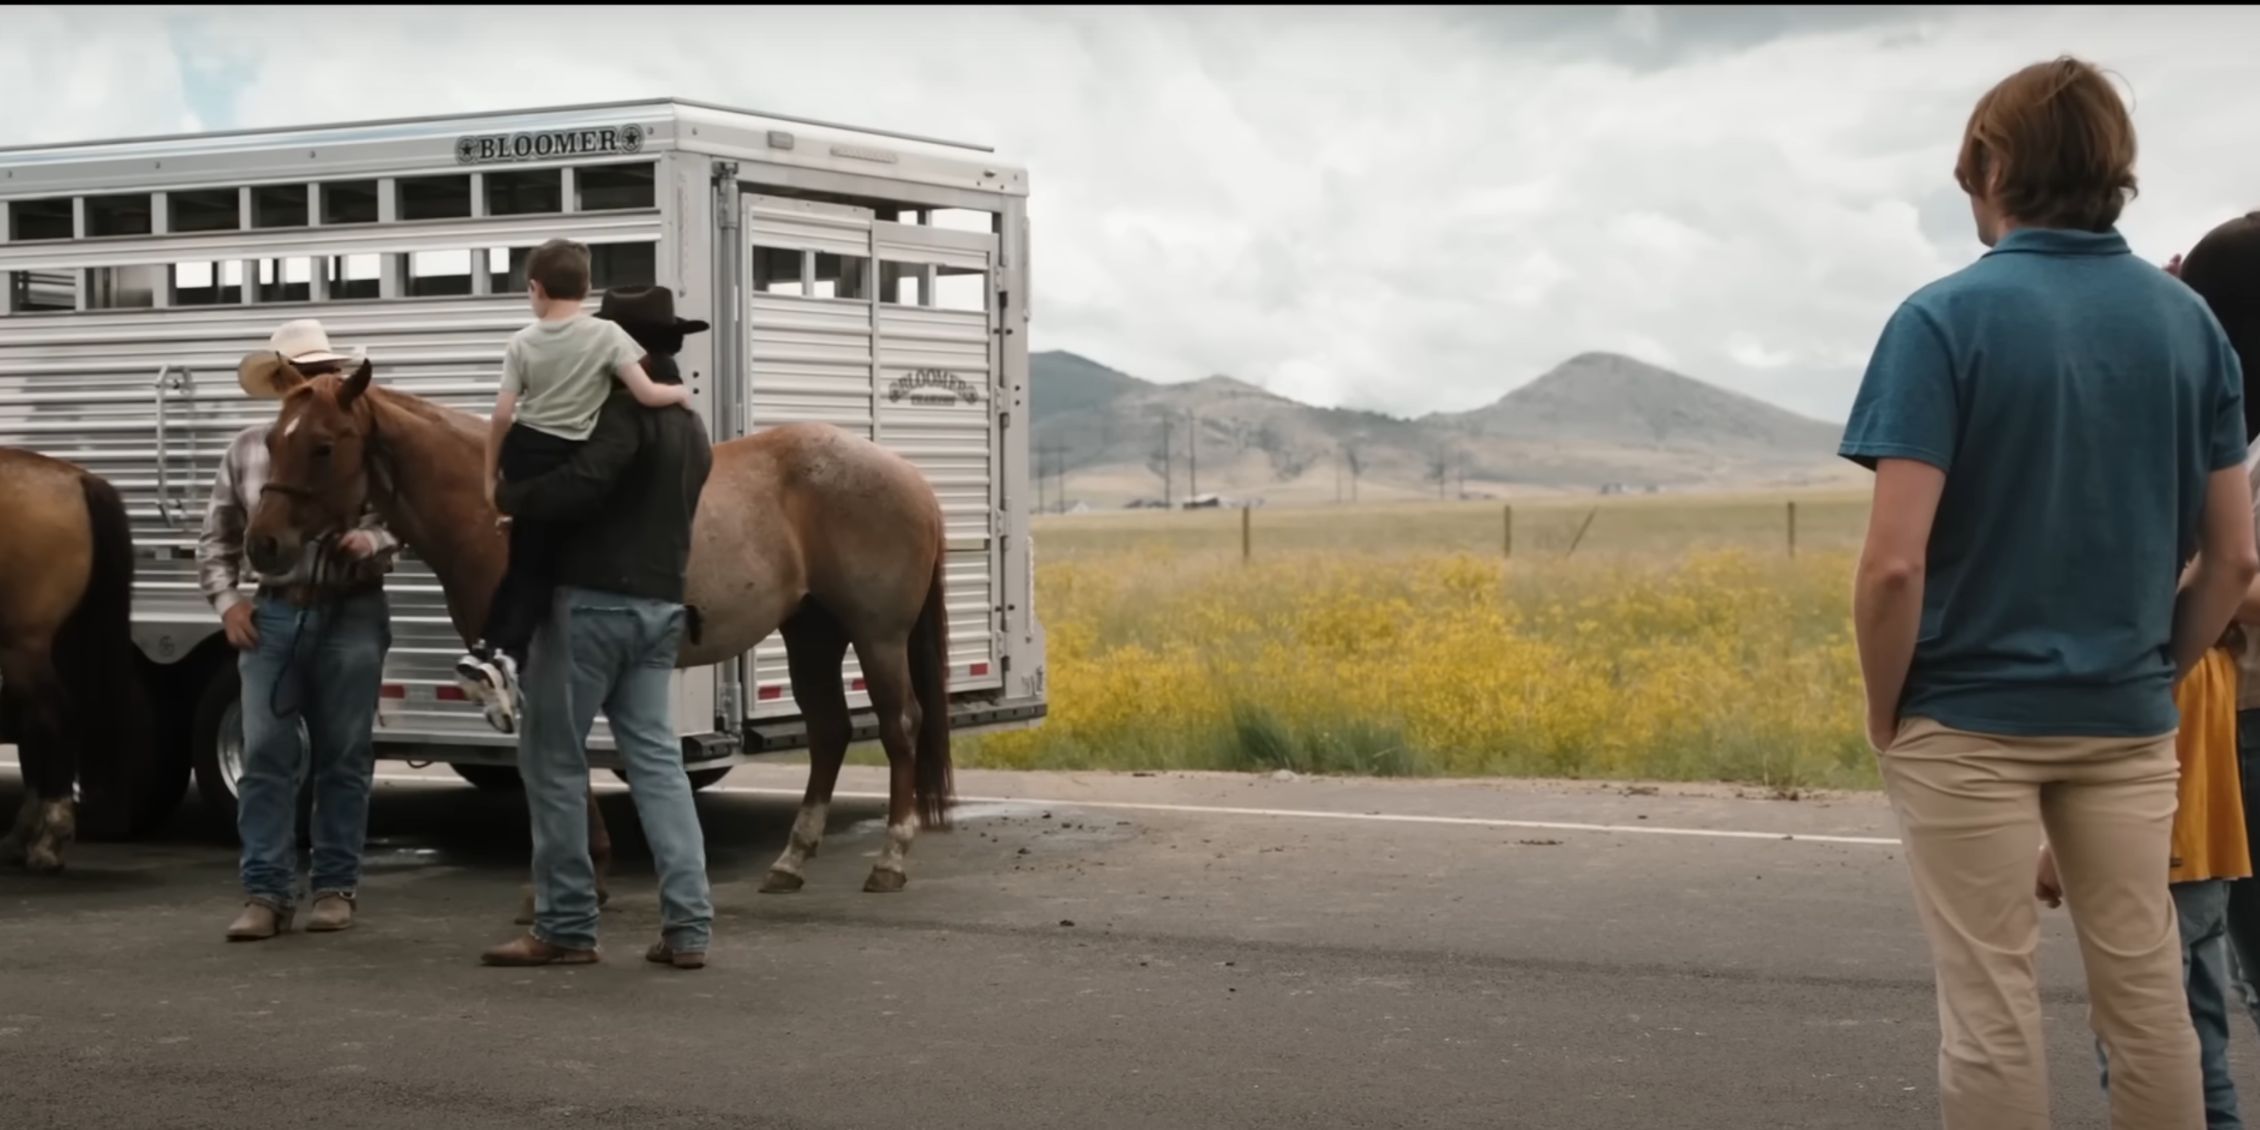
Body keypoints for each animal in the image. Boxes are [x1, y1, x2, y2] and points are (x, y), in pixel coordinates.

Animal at [236, 357, 953, 913]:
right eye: (274, 440)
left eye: (323, 445)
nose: (262, 543)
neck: (496, 510)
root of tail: (908, 475)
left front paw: (575, 878)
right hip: (812, 633)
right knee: (831, 732)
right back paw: (792, 861)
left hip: (878, 638)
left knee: (900, 727)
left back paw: (890, 857)